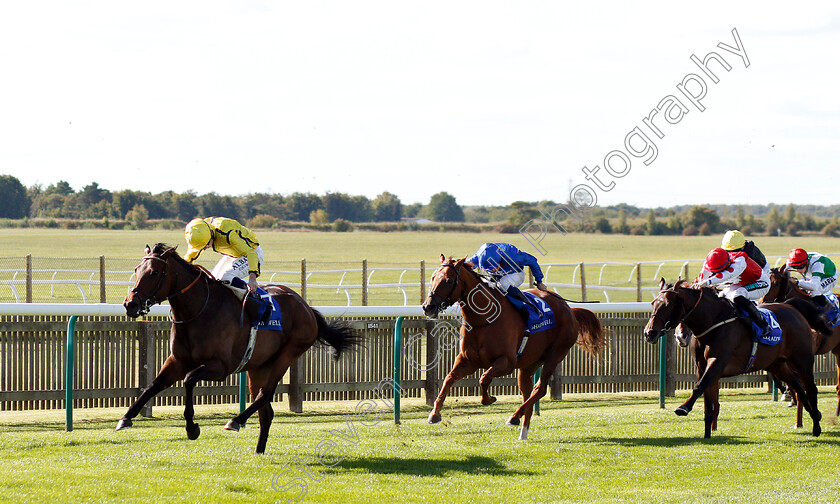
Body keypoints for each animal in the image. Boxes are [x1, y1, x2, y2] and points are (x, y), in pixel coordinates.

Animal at [119, 244, 360, 452]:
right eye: (136, 269)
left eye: (154, 272)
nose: (130, 304)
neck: (198, 310)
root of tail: (307, 307)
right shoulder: (177, 361)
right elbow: (152, 385)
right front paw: (126, 418)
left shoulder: (220, 367)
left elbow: (188, 380)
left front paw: (192, 428)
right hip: (258, 366)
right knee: (266, 411)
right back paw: (259, 450)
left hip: (288, 354)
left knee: (265, 394)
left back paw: (236, 421)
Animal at [418, 254, 604, 440]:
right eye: (433, 278)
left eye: (449, 281)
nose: (428, 306)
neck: (484, 319)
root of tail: (570, 310)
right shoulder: (467, 360)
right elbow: (449, 379)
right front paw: (434, 414)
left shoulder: (506, 362)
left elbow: (483, 378)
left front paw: (489, 399)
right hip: (529, 365)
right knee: (528, 393)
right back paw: (523, 432)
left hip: (555, 354)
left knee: (540, 389)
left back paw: (514, 417)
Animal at [648, 280, 824, 438]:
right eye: (652, 303)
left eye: (668, 305)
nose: (649, 332)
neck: (713, 321)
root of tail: (793, 309)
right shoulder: (701, 366)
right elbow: (707, 399)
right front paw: (707, 434)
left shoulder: (718, 361)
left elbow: (699, 387)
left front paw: (683, 408)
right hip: (776, 364)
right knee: (797, 384)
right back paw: (815, 415)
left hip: (802, 360)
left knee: (811, 388)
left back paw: (816, 427)